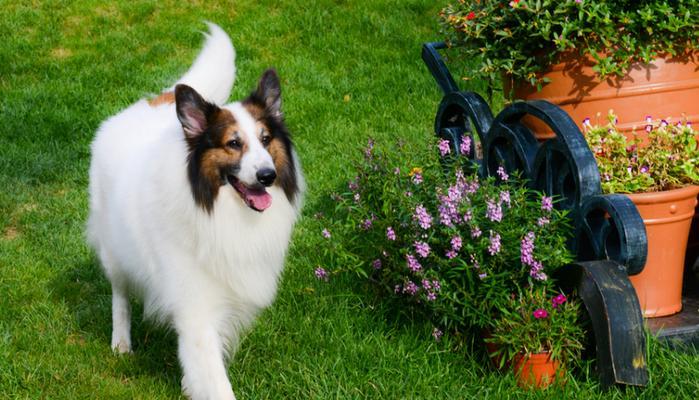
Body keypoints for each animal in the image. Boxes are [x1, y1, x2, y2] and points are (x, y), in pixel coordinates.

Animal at [86, 23, 304, 398]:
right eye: (233, 143)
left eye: (265, 139)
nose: (268, 176)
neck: (218, 210)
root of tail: (154, 102)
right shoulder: (197, 312)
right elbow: (215, 381)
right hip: (114, 251)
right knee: (120, 294)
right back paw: (121, 341)